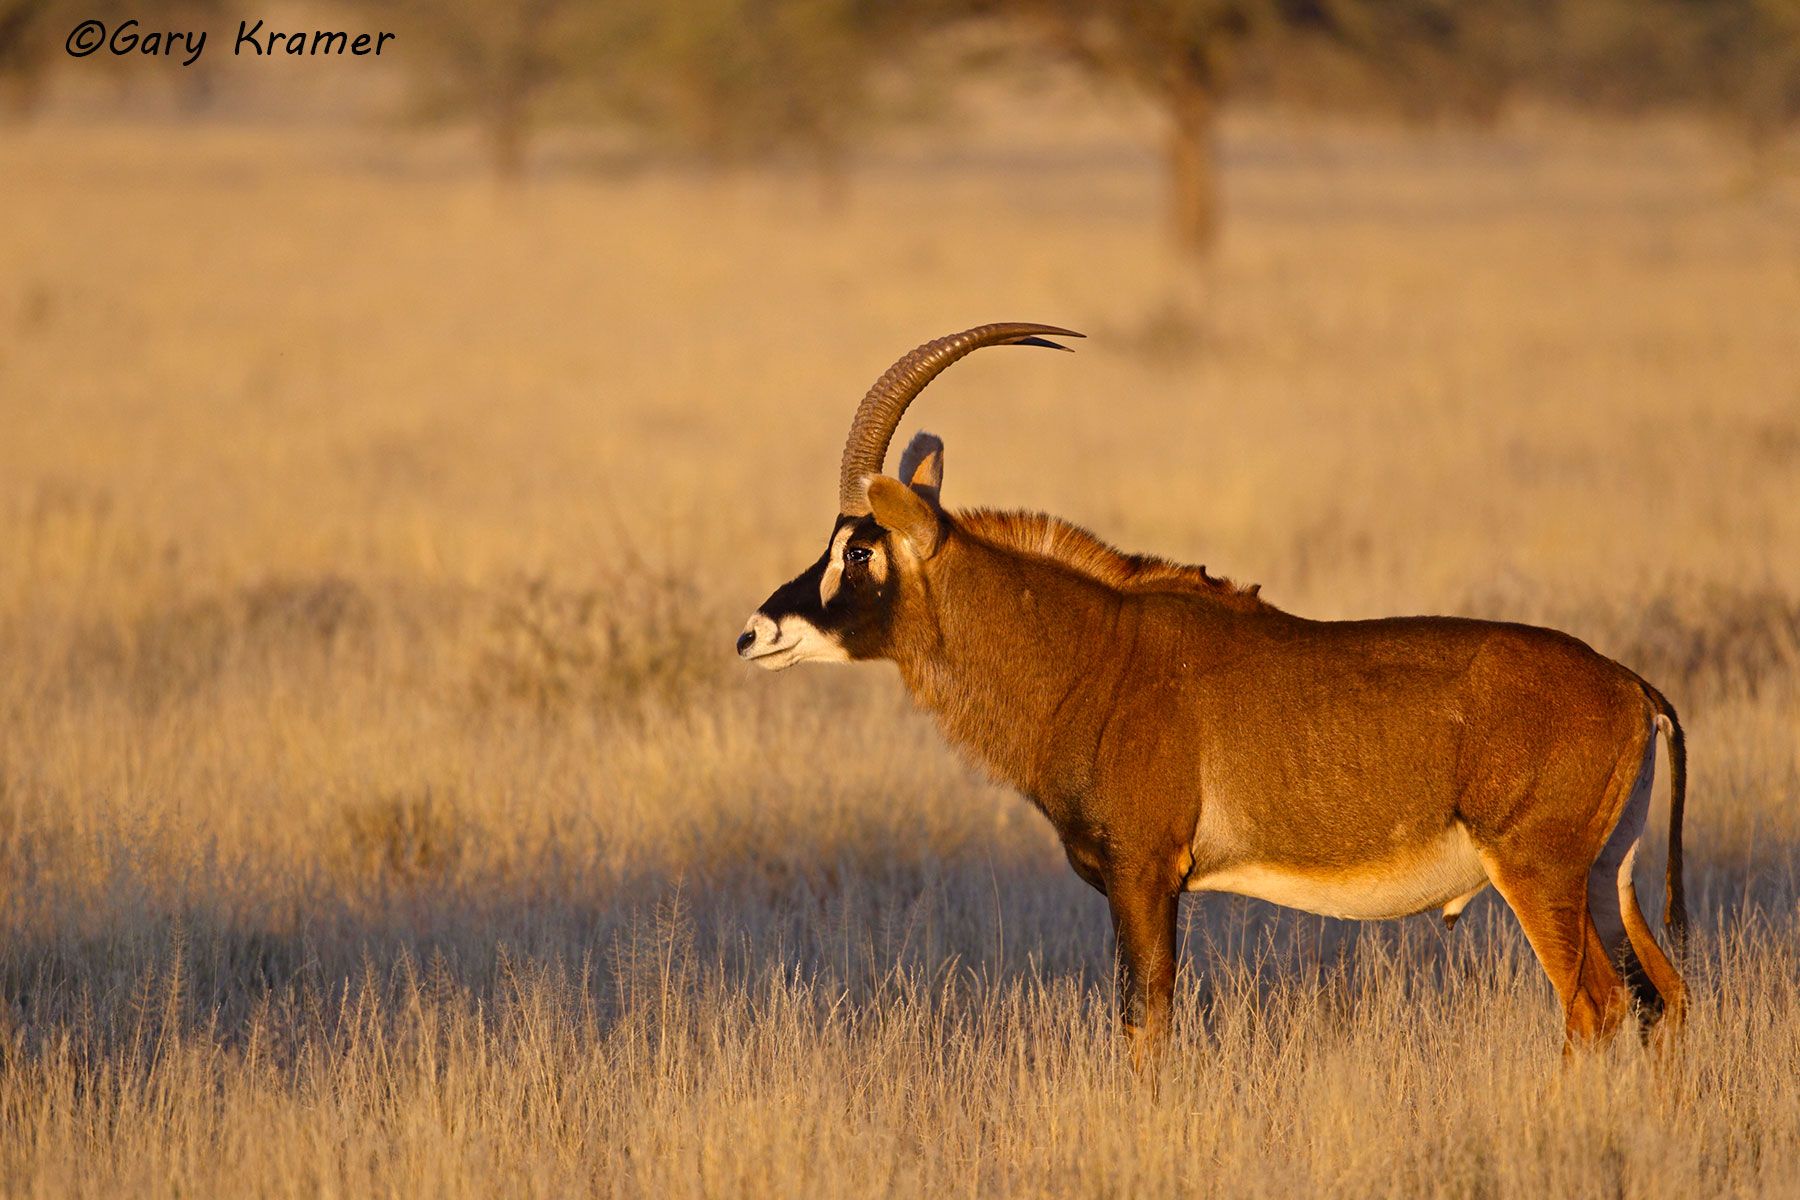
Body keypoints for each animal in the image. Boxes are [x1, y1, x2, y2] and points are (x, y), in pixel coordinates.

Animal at [737, 323, 1689, 1062]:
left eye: (860, 550)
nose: (754, 633)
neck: (1091, 658)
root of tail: (1632, 687)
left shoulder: (1144, 873)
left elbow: (1144, 1025)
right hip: (1610, 877)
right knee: (1664, 997)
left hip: (1538, 872)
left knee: (1595, 1006)